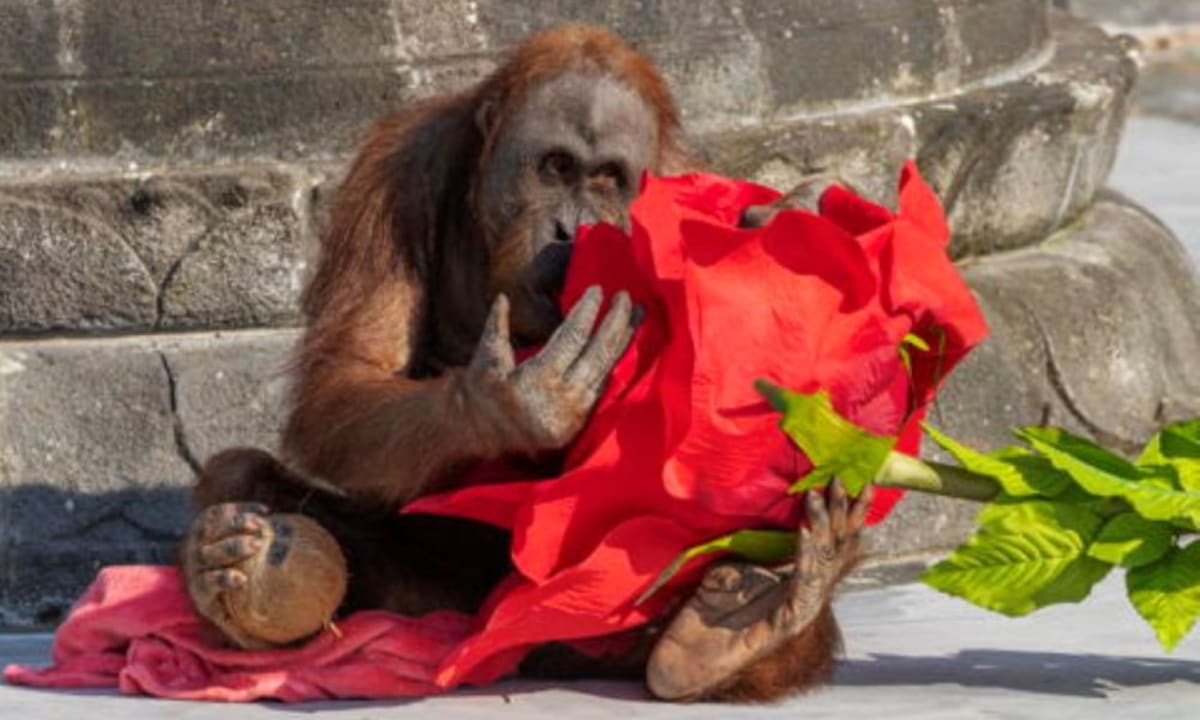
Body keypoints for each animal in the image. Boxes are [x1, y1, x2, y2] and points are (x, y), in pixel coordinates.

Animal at [181, 24, 873, 702]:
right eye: (556, 167)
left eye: (607, 178)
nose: (572, 228)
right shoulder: (397, 172)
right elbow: (346, 375)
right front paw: (513, 403)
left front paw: (798, 215)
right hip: (443, 604)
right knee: (243, 478)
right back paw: (232, 565)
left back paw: (739, 630)